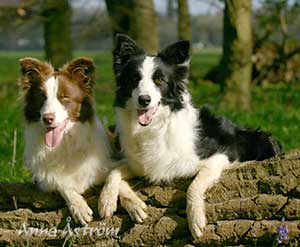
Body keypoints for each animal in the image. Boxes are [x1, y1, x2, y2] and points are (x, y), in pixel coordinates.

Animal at [19, 57, 146, 226]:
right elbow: (62, 184)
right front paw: (79, 207)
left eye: (65, 98)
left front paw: (114, 202)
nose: (47, 118)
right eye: (42, 98)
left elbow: (114, 175)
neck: (65, 142)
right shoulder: (43, 179)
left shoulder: (121, 163)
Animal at [99, 34, 282, 237]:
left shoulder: (219, 157)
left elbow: (194, 186)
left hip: (263, 140)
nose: (144, 100)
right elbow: (113, 171)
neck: (156, 128)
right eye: (134, 79)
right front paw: (111, 201)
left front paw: (196, 220)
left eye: (159, 80)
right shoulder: (140, 166)